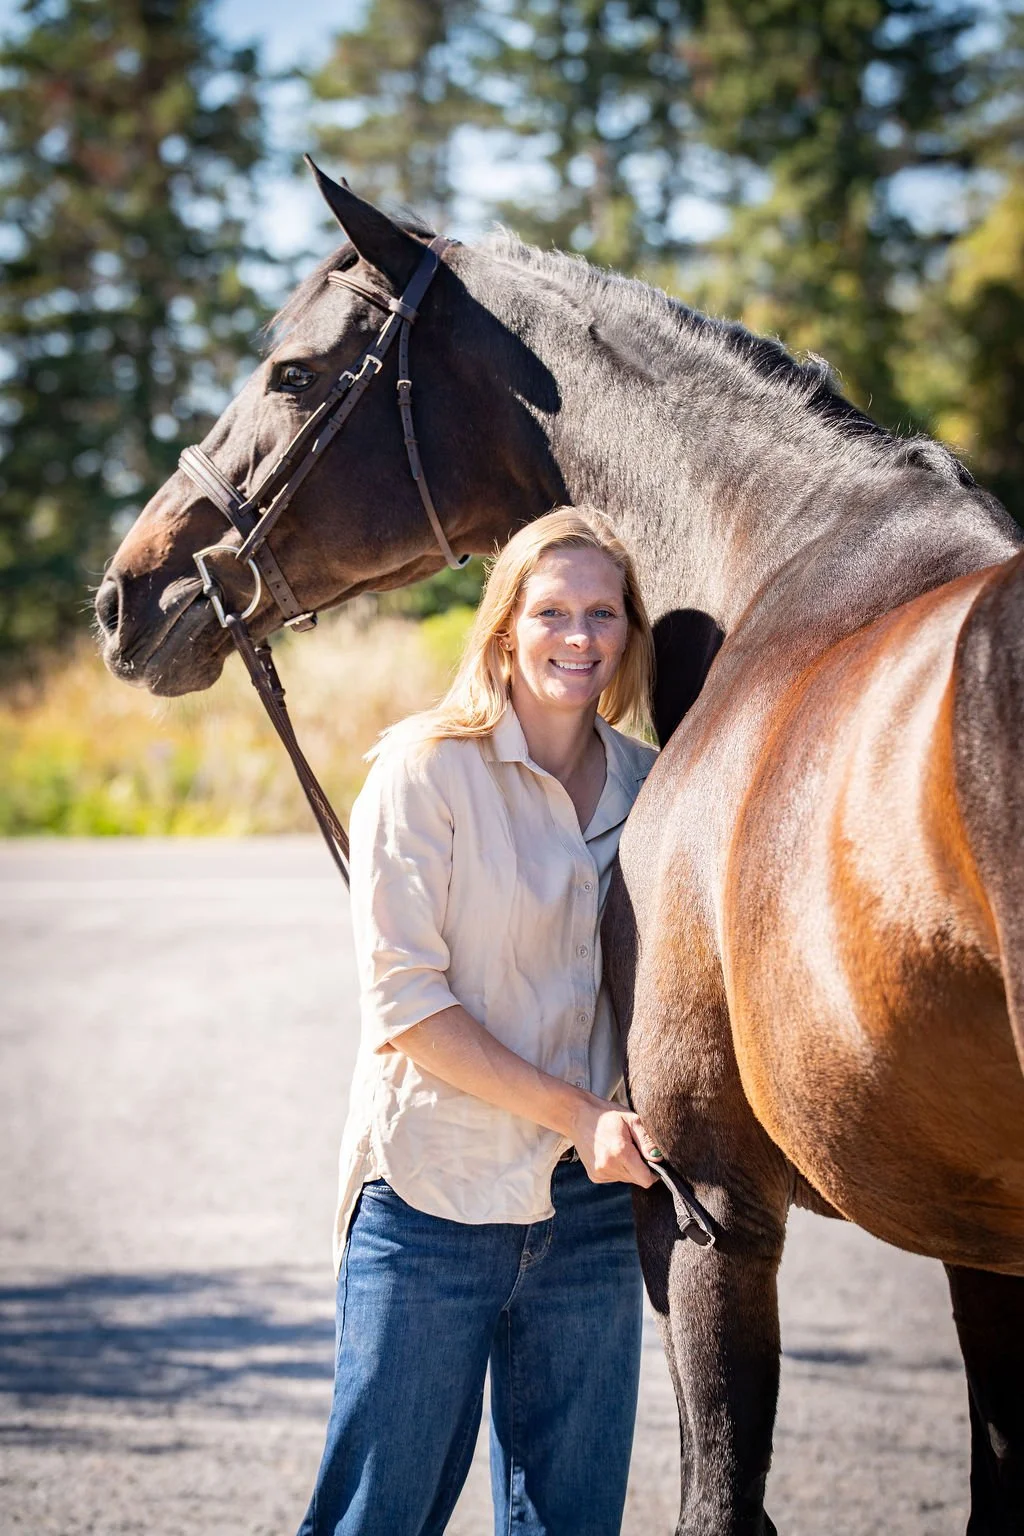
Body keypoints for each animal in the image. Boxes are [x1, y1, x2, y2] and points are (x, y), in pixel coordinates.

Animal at [95, 166, 1024, 1534]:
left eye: (295, 374)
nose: (131, 592)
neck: (784, 562)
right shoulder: (974, 1234)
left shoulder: (706, 1207)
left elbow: (718, 1495)